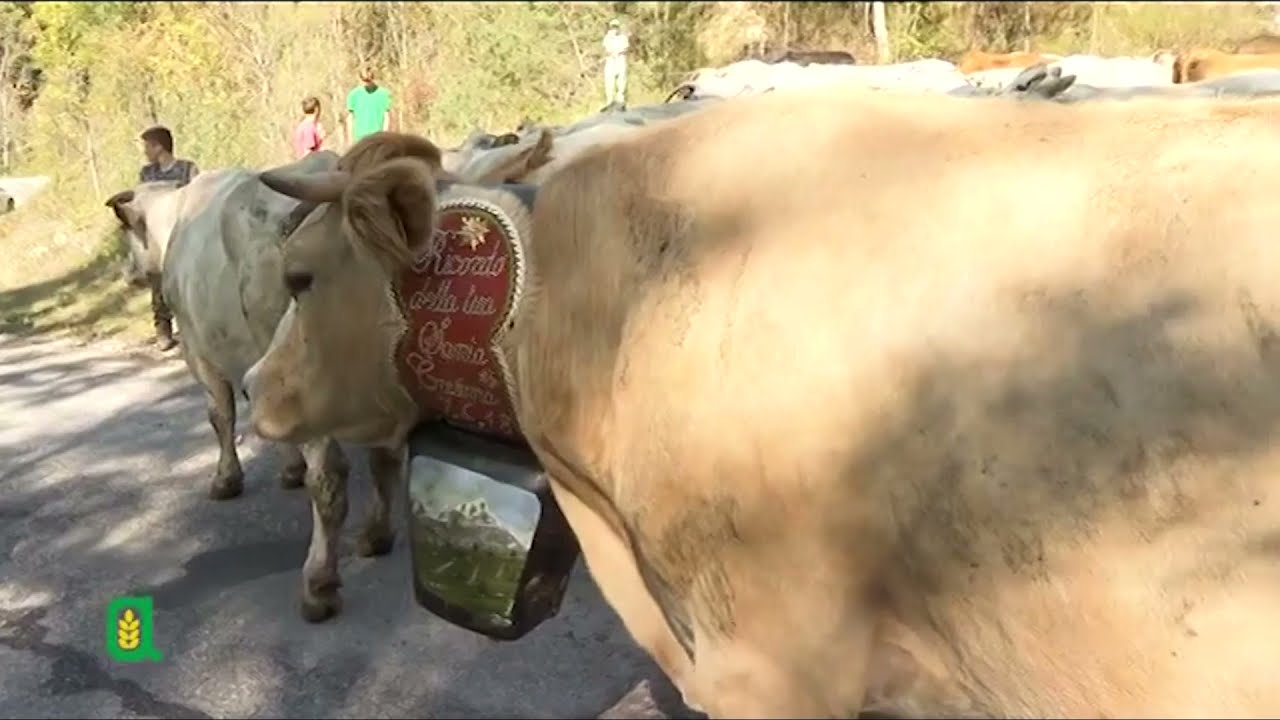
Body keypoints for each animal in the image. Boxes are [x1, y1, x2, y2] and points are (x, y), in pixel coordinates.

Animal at [105, 151, 403, 622]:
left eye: (125, 233)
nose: (126, 274)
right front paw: (290, 469)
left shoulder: (199, 351)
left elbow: (220, 414)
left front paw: (226, 478)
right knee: (385, 454)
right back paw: (376, 535)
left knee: (331, 476)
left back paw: (318, 584)